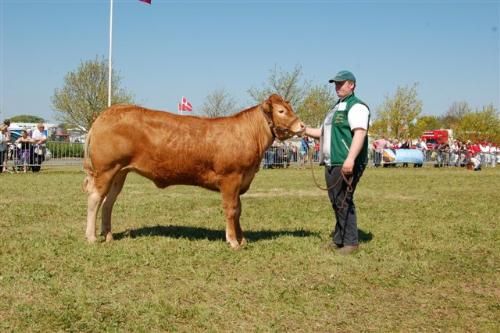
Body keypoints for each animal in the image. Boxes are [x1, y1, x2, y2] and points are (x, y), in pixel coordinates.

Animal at [83, 93, 304, 246]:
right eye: (281, 111)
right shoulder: (231, 178)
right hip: (106, 169)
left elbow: (239, 210)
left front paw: (242, 239)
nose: (302, 126)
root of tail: (105, 114)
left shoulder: (241, 180)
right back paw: (92, 237)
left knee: (108, 202)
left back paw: (108, 235)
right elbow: (231, 209)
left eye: (289, 107)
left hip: (120, 172)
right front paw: (233, 241)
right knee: (95, 199)